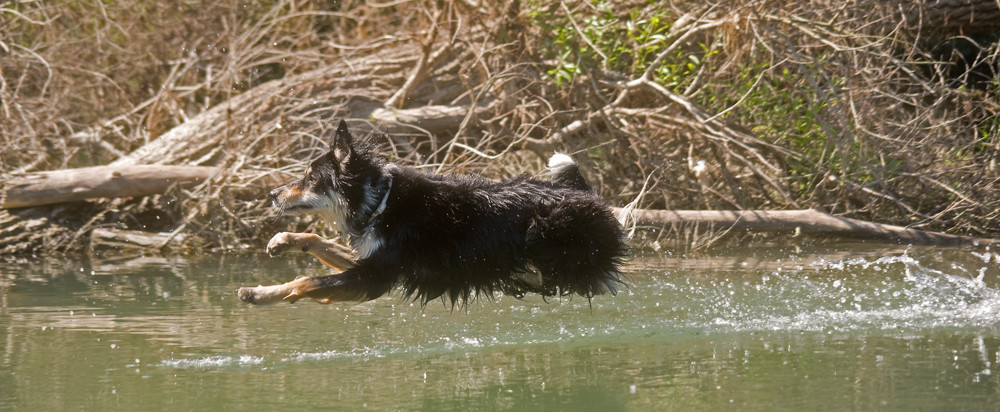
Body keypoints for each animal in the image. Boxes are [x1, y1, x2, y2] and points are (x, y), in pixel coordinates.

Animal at [237, 119, 624, 306]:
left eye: (310, 178)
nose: (271, 194)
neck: (381, 202)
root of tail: (587, 194)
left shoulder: (375, 276)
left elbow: (307, 282)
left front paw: (261, 294)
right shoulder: (377, 261)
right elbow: (317, 240)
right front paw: (282, 241)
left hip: (550, 239)